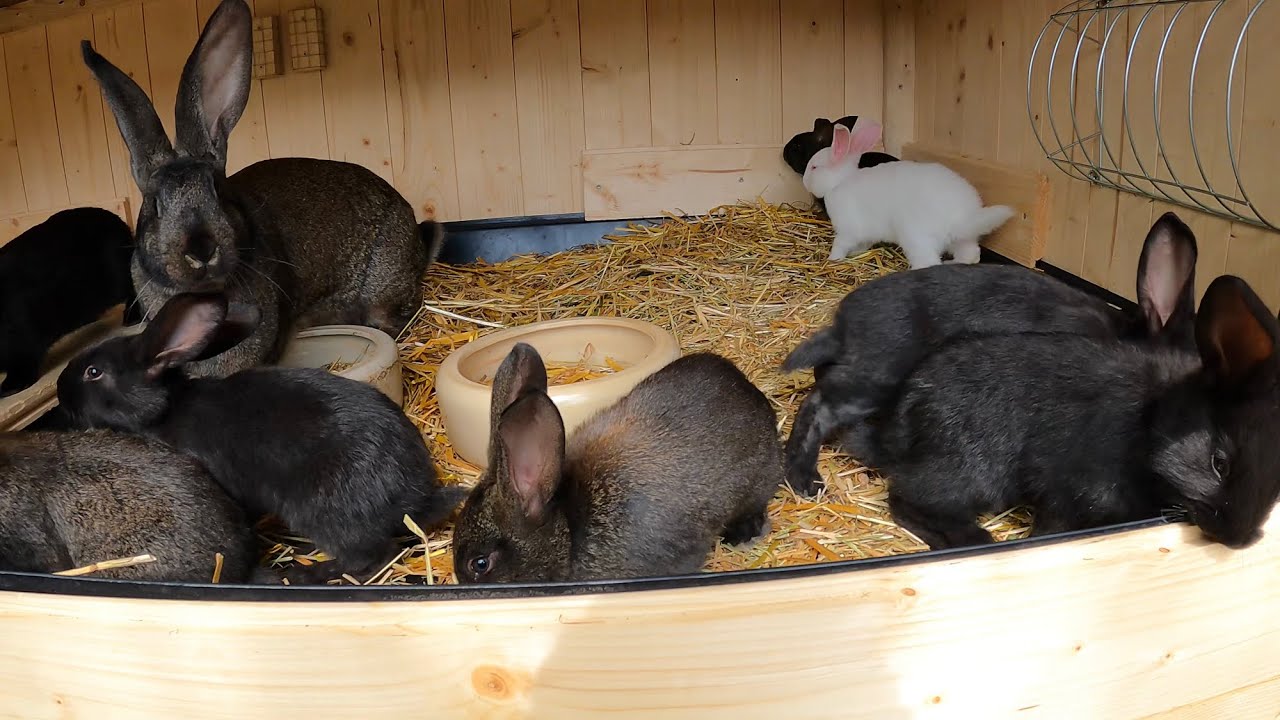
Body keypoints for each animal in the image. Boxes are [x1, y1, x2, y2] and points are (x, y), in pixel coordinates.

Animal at [0, 207, 137, 397]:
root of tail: (116, 220)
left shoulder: (23, 326)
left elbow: (23, 355)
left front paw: (13, 385)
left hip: (117, 278)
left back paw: (133, 316)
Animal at [54, 290, 467, 584]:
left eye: (94, 372)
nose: (59, 390)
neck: (166, 409)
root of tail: (412, 499)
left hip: (324, 513)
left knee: (368, 558)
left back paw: (306, 573)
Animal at [804, 120, 1015, 268]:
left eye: (814, 167)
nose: (805, 182)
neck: (840, 182)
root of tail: (960, 217)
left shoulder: (848, 230)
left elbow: (840, 244)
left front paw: (832, 259)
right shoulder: (866, 235)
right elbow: (864, 245)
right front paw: (856, 254)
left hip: (916, 237)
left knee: (929, 262)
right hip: (962, 239)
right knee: (971, 256)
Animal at [836, 274, 1280, 551]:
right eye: (1219, 463)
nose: (1238, 539)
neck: (1152, 419)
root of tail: (897, 427)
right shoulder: (1073, 493)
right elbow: (1052, 526)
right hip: (969, 470)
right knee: (908, 498)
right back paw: (974, 540)